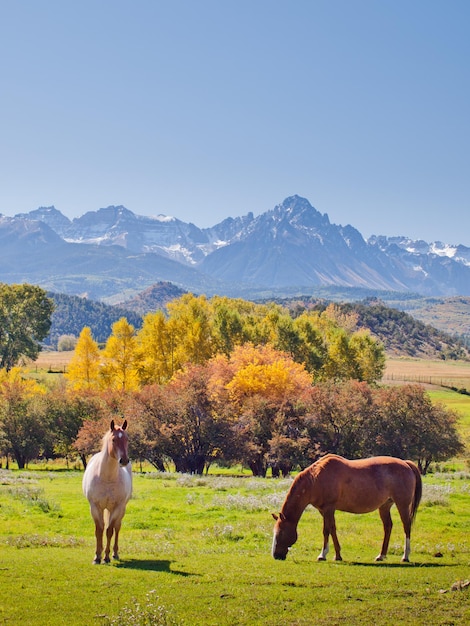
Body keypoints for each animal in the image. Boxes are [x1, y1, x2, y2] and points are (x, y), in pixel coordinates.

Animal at [82, 420, 132, 560]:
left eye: (127, 439)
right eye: (113, 439)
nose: (124, 460)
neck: (107, 478)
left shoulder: (117, 507)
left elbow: (109, 531)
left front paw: (106, 557)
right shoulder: (95, 507)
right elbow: (99, 530)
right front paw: (97, 556)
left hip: (121, 509)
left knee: (117, 527)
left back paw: (114, 554)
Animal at [272, 454, 422, 560]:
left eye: (281, 533)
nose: (275, 555)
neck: (315, 479)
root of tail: (406, 464)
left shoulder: (328, 509)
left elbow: (326, 530)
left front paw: (323, 555)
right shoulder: (324, 511)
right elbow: (332, 529)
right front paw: (337, 555)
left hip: (402, 504)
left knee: (406, 527)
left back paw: (405, 556)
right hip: (385, 506)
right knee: (388, 527)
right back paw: (381, 555)